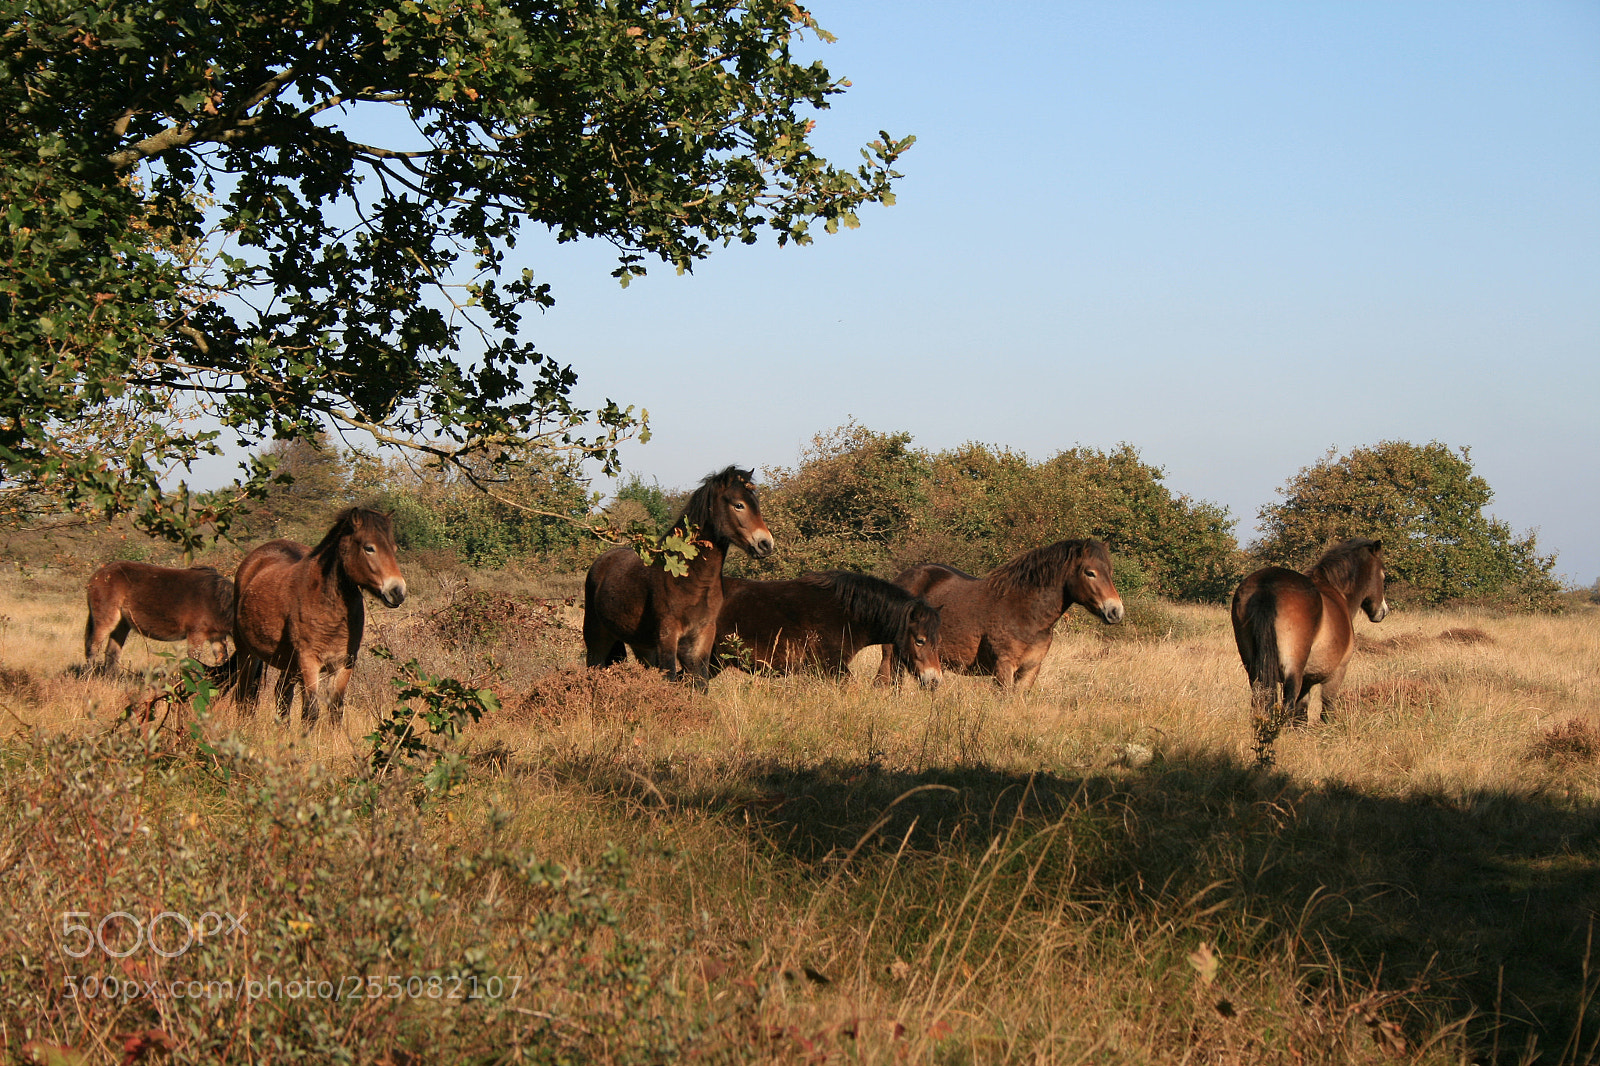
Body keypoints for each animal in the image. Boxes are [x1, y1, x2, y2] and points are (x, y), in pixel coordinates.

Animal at [83, 562, 235, 672]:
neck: (216, 601)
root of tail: (97, 575)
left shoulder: (217, 637)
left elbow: (222, 660)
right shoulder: (196, 634)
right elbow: (194, 662)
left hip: (122, 624)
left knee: (112, 652)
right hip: (106, 620)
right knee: (93, 646)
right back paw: (89, 676)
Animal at [225, 507, 407, 727]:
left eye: (394, 548)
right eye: (369, 548)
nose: (397, 591)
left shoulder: (344, 664)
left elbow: (336, 710)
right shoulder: (309, 662)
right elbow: (310, 711)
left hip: (288, 664)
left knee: (281, 695)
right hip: (248, 653)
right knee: (245, 695)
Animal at [584, 466, 774, 681]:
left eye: (756, 504)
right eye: (739, 505)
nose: (765, 544)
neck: (693, 580)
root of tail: (602, 561)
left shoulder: (702, 635)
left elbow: (700, 681)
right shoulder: (667, 635)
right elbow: (670, 676)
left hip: (641, 645)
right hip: (597, 639)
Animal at [878, 539, 1125, 691]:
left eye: (1110, 572)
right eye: (1090, 572)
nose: (1115, 611)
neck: (1026, 612)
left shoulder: (1030, 670)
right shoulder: (1004, 667)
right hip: (892, 656)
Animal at [1231, 537, 1388, 726]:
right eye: (1383, 574)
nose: (1383, 611)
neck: (1336, 592)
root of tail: (1268, 584)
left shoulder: (1307, 682)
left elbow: (1301, 717)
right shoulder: (1336, 675)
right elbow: (1326, 711)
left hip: (1255, 672)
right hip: (1293, 671)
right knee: (1287, 708)